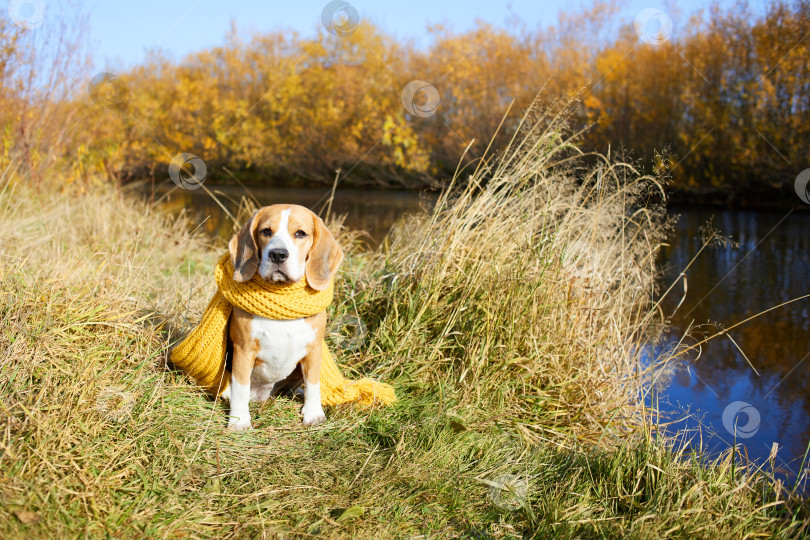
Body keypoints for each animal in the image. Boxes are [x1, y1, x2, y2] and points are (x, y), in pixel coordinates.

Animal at [223, 205, 342, 432]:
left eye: (300, 233)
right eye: (266, 231)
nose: (278, 254)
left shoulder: (314, 349)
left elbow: (313, 383)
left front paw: (313, 414)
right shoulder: (243, 349)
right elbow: (240, 386)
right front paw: (239, 421)